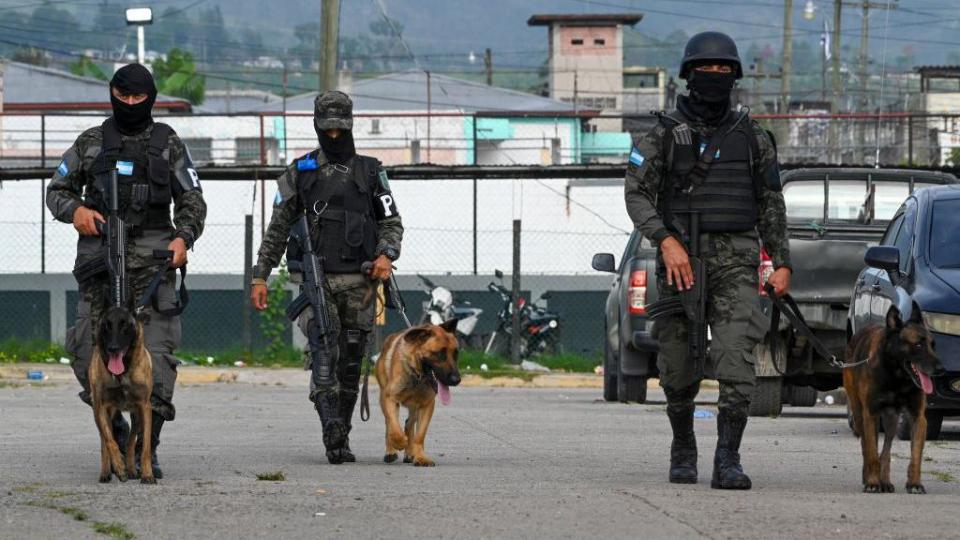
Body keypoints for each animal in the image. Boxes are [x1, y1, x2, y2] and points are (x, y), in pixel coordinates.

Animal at [91, 306, 158, 484]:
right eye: (107, 326)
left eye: (125, 326)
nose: (113, 348)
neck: (122, 373)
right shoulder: (102, 408)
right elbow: (110, 441)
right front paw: (120, 468)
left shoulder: (144, 407)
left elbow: (145, 446)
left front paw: (147, 474)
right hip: (101, 413)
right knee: (104, 441)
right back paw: (106, 472)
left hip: (137, 416)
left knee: (130, 442)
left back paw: (132, 469)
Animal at [376, 318, 464, 466]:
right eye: (439, 354)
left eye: (456, 354)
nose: (456, 380)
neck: (417, 377)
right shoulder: (389, 399)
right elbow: (394, 427)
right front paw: (400, 443)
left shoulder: (426, 406)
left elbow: (419, 435)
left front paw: (420, 457)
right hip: (386, 400)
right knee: (390, 424)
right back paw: (391, 451)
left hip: (414, 408)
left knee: (409, 424)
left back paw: (409, 454)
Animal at [840, 304, 944, 494]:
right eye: (918, 344)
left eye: (933, 345)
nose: (941, 369)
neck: (897, 378)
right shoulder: (870, 414)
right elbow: (871, 451)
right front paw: (872, 482)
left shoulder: (918, 418)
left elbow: (915, 456)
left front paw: (914, 483)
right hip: (860, 415)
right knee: (867, 446)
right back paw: (869, 477)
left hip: (891, 421)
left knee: (886, 451)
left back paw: (885, 481)